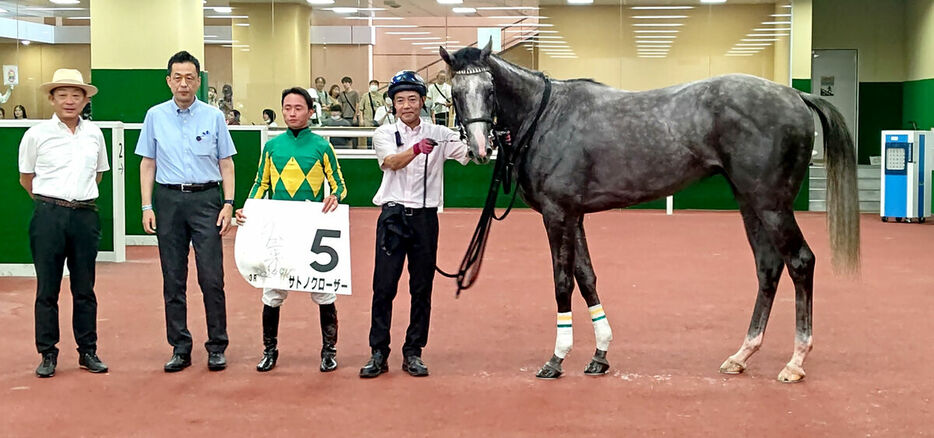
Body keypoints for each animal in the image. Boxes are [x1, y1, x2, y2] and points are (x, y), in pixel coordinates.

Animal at [442, 42, 860, 382]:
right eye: (456, 93)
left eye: (489, 89)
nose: (479, 148)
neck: (547, 116)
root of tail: (794, 92)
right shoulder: (575, 215)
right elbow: (587, 277)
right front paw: (599, 355)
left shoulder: (557, 214)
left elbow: (562, 282)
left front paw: (556, 359)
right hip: (750, 203)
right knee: (768, 267)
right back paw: (742, 354)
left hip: (772, 205)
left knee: (800, 262)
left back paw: (795, 361)